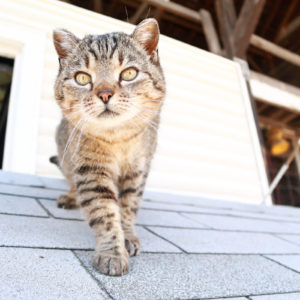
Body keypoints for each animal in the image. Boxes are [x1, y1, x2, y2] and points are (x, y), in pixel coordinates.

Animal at [51, 18, 164, 276]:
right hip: (66, 156)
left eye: (129, 73)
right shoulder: (91, 172)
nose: (104, 94)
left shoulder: (138, 171)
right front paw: (112, 252)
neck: (119, 140)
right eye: (82, 78)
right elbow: (104, 213)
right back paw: (70, 197)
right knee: (71, 180)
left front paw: (128, 237)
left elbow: (128, 208)